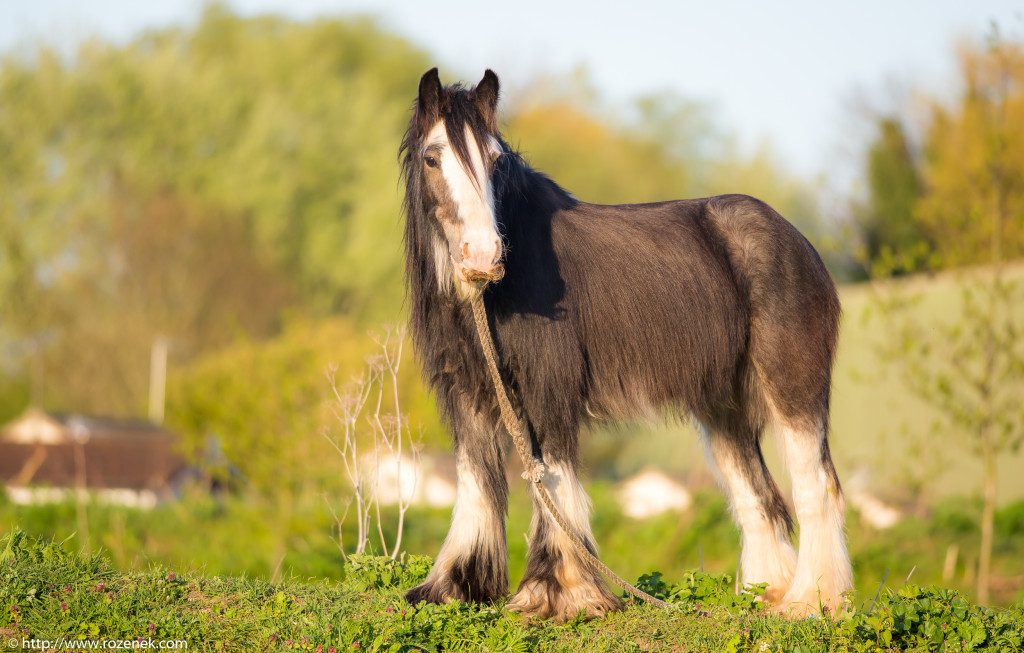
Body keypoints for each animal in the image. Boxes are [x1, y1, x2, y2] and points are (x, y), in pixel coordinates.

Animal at [399, 69, 856, 622]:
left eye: (495, 160)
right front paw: (454, 586)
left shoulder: (549, 390)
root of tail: (800, 243)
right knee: (756, 496)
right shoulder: (465, 391)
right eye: (432, 157)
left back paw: (812, 601)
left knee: (816, 486)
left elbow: (555, 479)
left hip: (793, 384)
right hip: (723, 406)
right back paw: (765, 595)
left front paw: (562, 594)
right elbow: (476, 482)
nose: (483, 256)